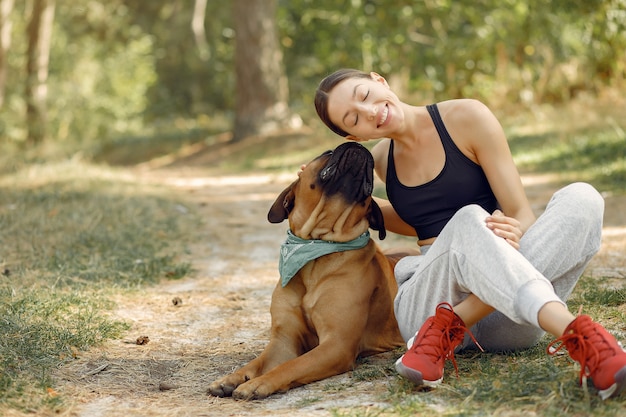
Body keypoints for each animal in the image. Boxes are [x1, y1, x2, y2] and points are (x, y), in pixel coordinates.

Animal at [206, 141, 404, 398]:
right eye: (327, 153)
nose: (357, 145)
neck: (316, 250)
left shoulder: (337, 344)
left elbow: (293, 365)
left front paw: (258, 383)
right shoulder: (284, 341)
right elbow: (256, 361)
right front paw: (231, 378)